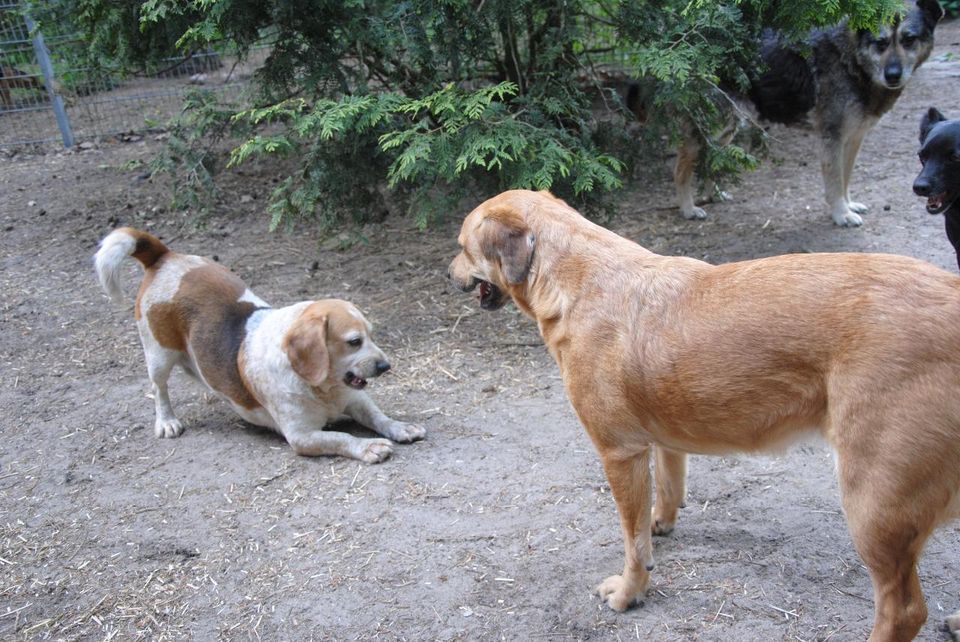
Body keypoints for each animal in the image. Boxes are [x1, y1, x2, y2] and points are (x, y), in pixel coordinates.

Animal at [94, 225, 424, 460]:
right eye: (354, 341)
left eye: (372, 334)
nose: (386, 366)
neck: (321, 388)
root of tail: (163, 256)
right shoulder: (302, 436)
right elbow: (341, 438)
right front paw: (368, 447)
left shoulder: (356, 400)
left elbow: (378, 416)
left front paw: (399, 426)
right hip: (159, 355)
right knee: (159, 389)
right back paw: (167, 421)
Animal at [448, 190, 960, 640]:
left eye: (461, 247)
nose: (448, 272)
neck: (578, 281)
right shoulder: (661, 436)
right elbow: (669, 485)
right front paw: (662, 521)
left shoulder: (619, 454)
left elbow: (632, 543)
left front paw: (630, 591)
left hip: (874, 506)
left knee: (904, 612)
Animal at [632, 0, 940, 225]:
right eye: (881, 42)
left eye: (909, 40)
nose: (893, 75)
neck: (852, 59)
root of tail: (678, 43)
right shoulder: (832, 138)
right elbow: (834, 182)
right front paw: (841, 214)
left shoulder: (854, 139)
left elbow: (846, 177)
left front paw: (849, 204)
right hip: (710, 129)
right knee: (681, 169)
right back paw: (688, 209)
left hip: (727, 128)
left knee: (713, 160)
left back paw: (714, 194)